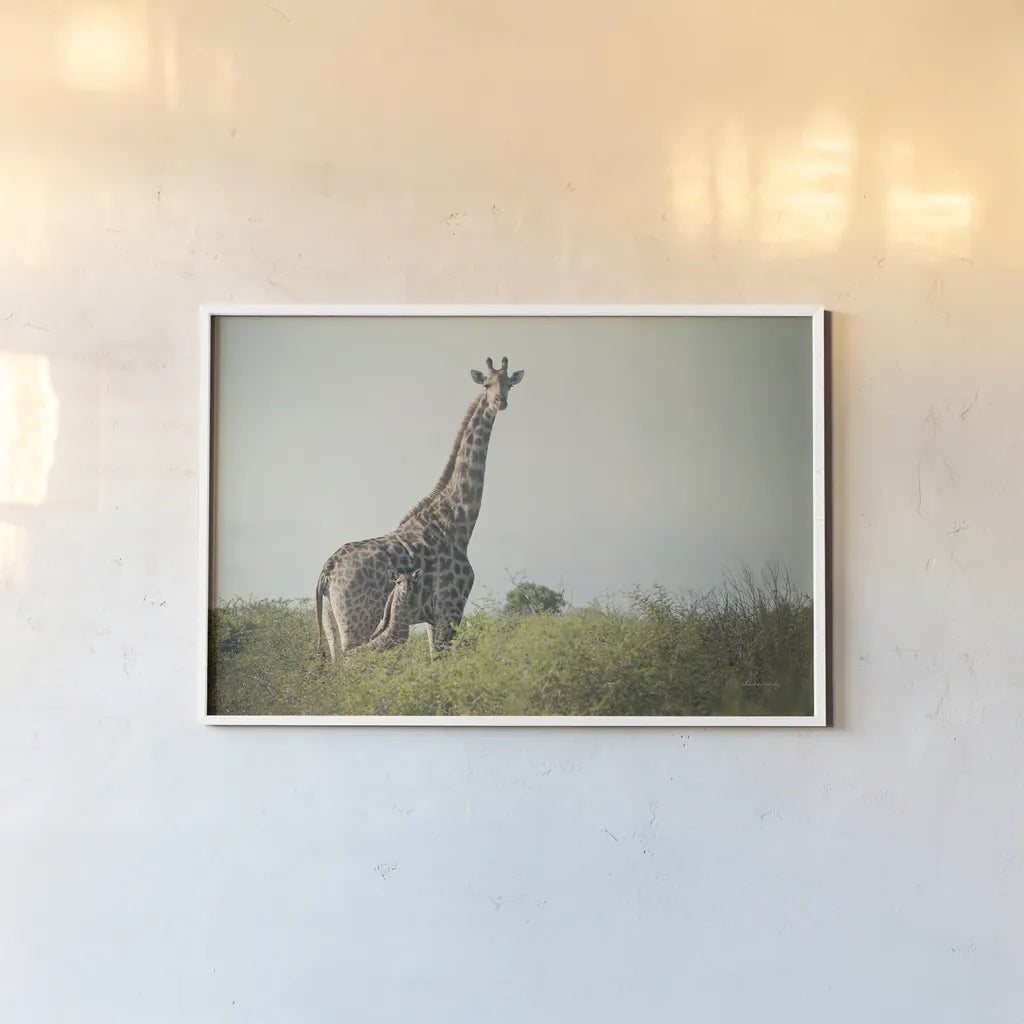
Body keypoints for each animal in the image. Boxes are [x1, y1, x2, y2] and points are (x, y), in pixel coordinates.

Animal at [315, 356, 525, 660]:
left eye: (509, 383)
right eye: (486, 384)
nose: (501, 401)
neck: (458, 523)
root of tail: (327, 572)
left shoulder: (433, 618)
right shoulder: (451, 608)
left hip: (332, 625)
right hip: (357, 623)